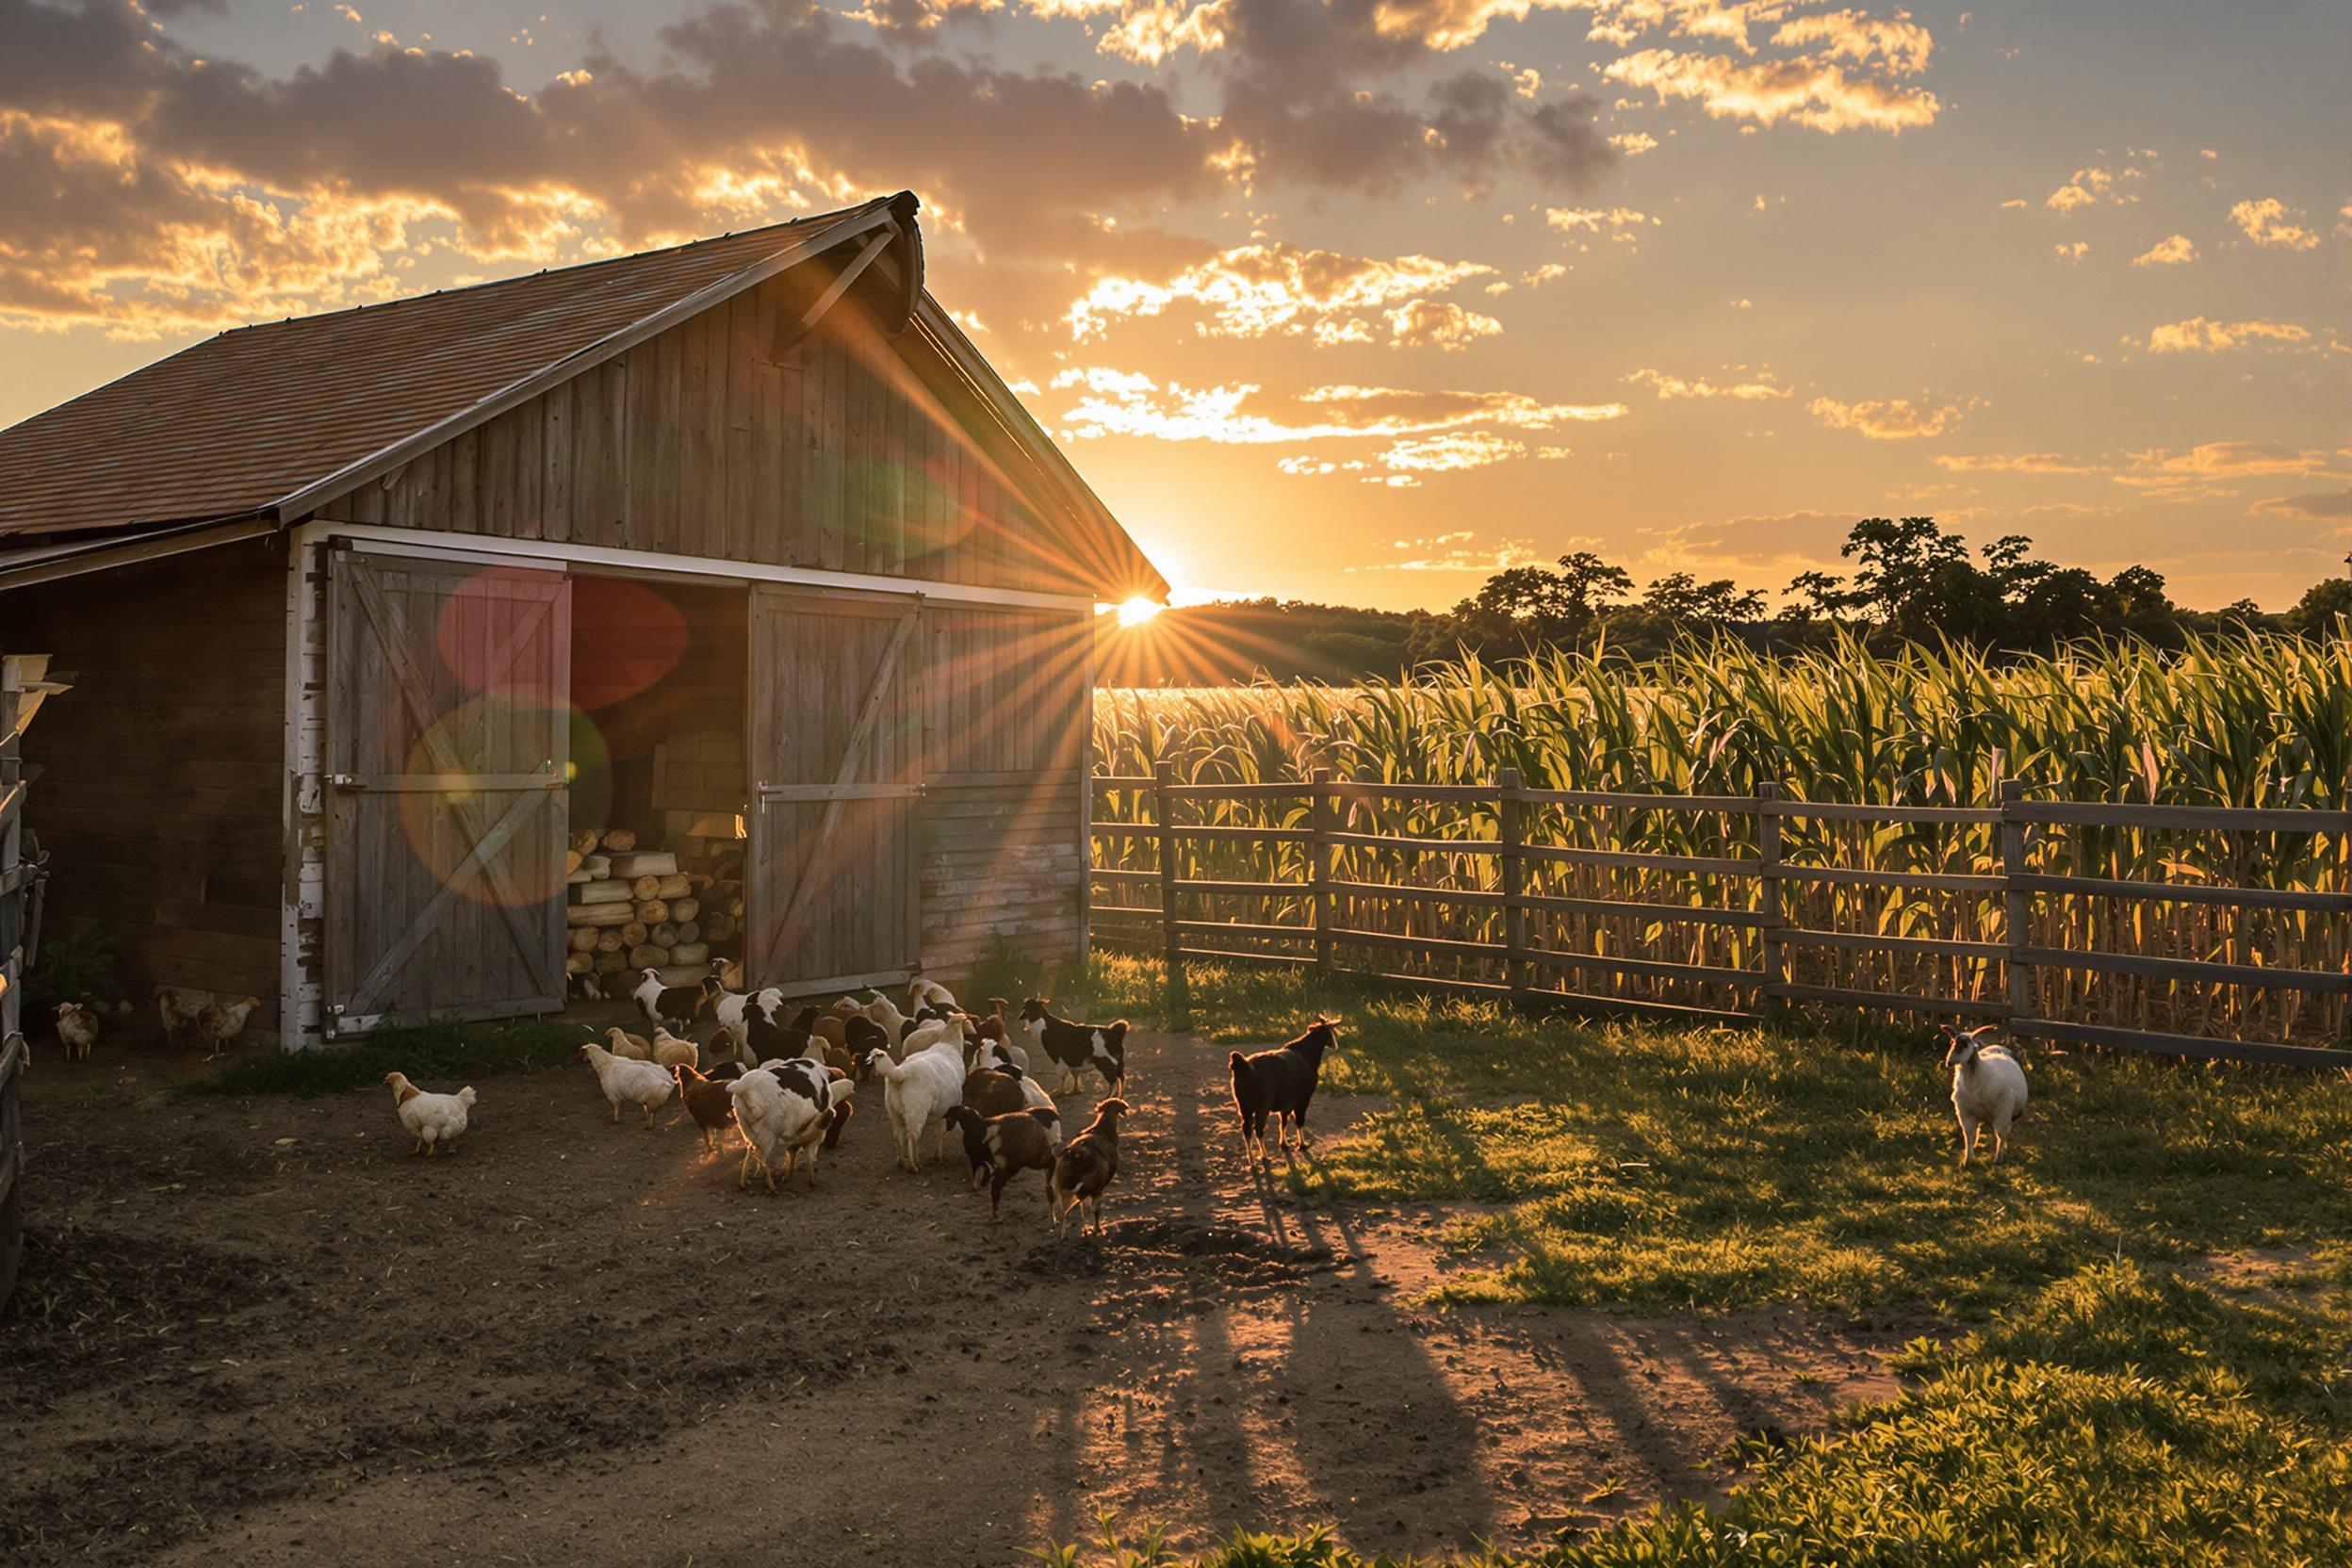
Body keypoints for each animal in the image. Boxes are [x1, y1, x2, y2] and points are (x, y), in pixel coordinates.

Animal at [1232, 1020, 1345, 1166]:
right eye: (1330, 1031)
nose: (1336, 1045)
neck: (1305, 1054)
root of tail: (1244, 1067)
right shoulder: (1303, 1099)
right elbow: (1299, 1121)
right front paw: (1301, 1144)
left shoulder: (1286, 1103)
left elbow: (1284, 1122)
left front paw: (1284, 1144)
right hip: (1263, 1105)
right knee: (1258, 1129)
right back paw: (1264, 1156)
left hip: (1244, 1106)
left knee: (1246, 1130)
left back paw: (1251, 1159)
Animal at [1937, 1029, 2032, 1166]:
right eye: (1952, 1042)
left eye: (1965, 1045)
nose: (1949, 1062)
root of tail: (1998, 1046)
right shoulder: (1965, 1114)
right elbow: (1969, 1136)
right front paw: (1968, 1159)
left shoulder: (2003, 1113)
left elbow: (2000, 1135)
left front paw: (1998, 1159)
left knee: (2004, 1133)